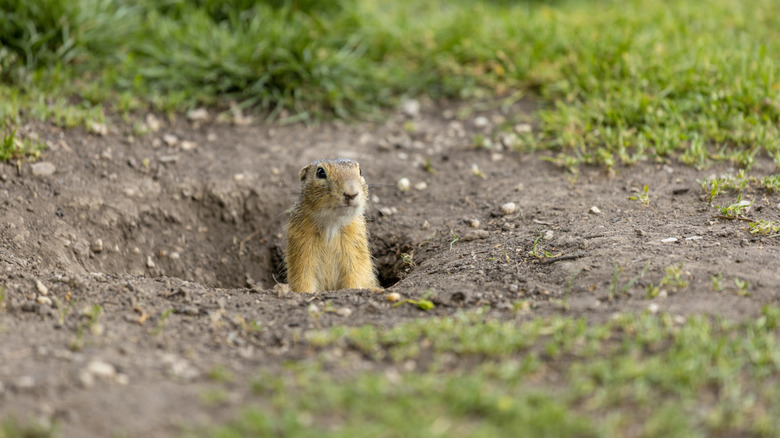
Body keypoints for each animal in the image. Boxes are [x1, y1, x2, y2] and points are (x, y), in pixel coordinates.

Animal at [285, 158, 379, 293]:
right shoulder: (301, 251)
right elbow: (302, 280)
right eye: (320, 172)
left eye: (360, 171)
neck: (332, 223)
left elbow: (355, 277)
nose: (351, 193)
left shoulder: (355, 251)